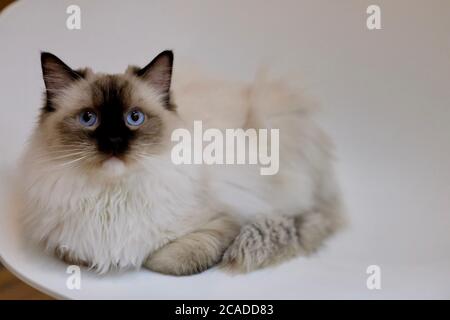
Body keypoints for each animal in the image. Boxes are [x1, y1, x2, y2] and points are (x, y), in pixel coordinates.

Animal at [18, 49, 344, 276]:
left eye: (134, 118)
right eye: (89, 118)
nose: (113, 141)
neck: (112, 197)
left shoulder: (227, 219)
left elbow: (171, 259)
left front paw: (146, 259)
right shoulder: (66, 242)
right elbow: (79, 253)